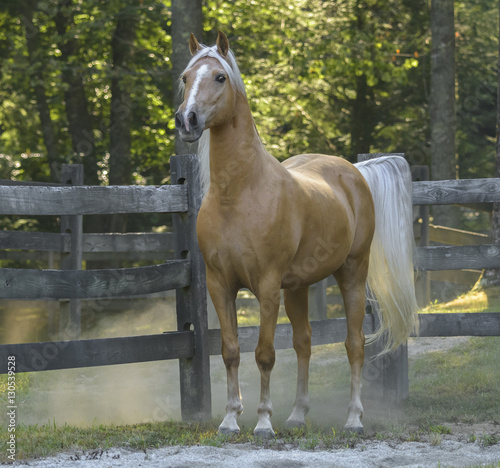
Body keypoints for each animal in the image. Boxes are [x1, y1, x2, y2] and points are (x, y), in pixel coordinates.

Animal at [176, 31, 418, 436]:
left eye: (220, 77)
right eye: (185, 78)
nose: (186, 120)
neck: (238, 193)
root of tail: (355, 171)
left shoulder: (267, 286)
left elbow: (265, 354)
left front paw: (262, 422)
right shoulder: (219, 284)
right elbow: (230, 351)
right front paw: (230, 419)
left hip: (352, 272)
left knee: (354, 343)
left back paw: (353, 417)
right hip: (298, 287)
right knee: (304, 342)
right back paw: (297, 414)